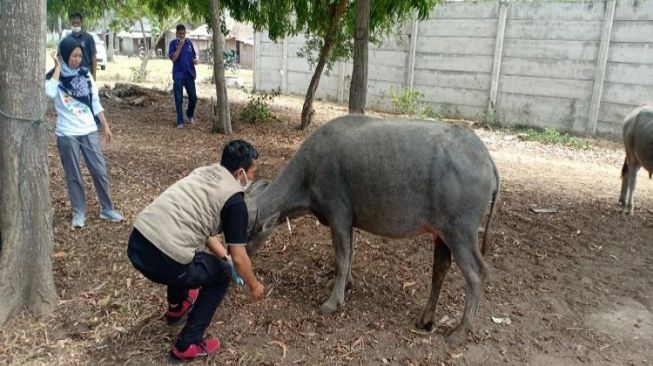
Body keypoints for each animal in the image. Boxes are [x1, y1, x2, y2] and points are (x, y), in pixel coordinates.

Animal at [244, 115, 500, 344]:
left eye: (245, 229)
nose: (240, 257)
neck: (310, 172)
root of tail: (485, 157)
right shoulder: (349, 222)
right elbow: (349, 254)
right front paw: (347, 283)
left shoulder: (338, 215)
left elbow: (341, 259)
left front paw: (333, 302)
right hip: (442, 233)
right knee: (440, 269)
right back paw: (426, 319)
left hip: (461, 233)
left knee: (477, 273)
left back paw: (460, 331)